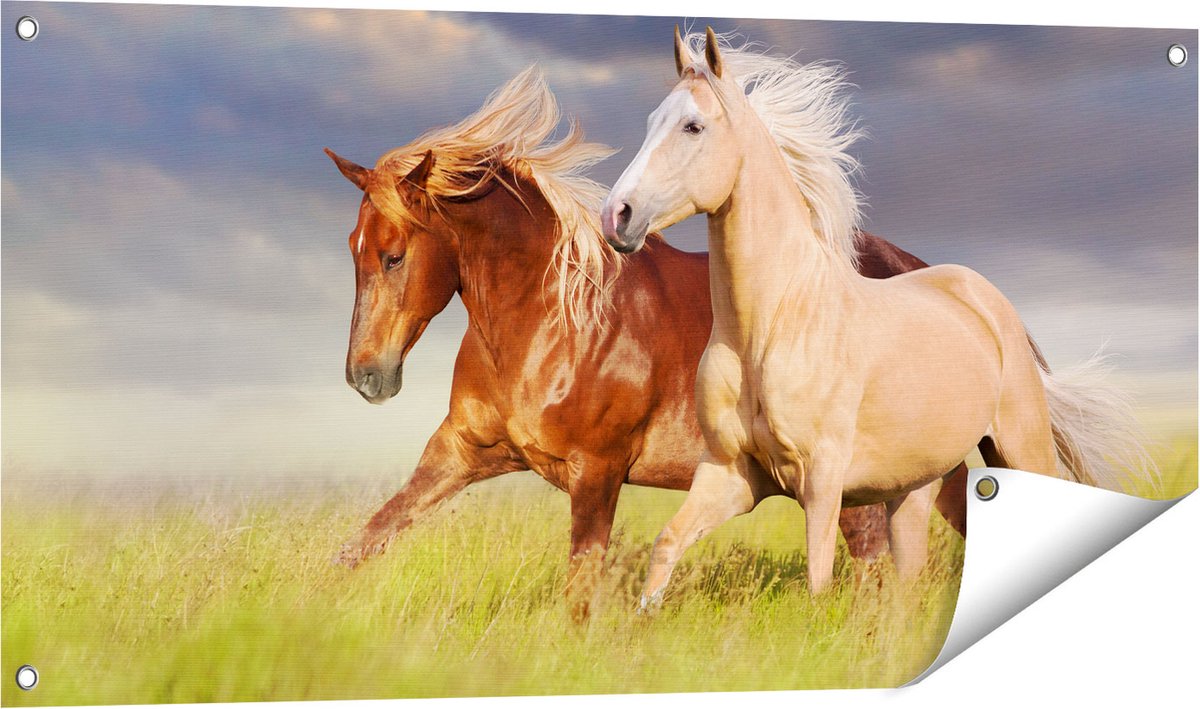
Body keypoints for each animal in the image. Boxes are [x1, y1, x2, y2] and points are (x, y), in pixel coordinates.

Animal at [325, 68, 976, 620]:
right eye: (354, 249)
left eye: (394, 256)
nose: (366, 377)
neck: (548, 322)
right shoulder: (460, 452)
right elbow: (362, 543)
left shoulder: (598, 472)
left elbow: (580, 593)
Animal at [600, 28, 1155, 609]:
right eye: (651, 121)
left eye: (693, 126)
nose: (617, 216)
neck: (771, 328)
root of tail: (988, 301)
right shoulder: (731, 474)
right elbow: (667, 544)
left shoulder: (822, 481)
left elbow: (818, 578)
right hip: (913, 489)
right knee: (911, 575)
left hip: (1019, 447)